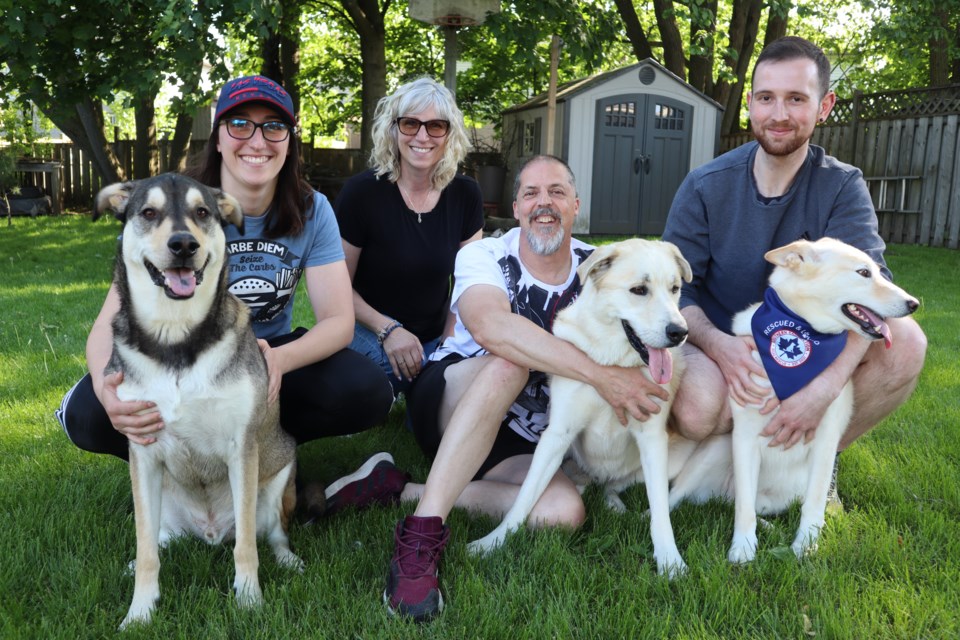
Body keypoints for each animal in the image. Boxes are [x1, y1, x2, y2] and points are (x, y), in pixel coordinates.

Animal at [468, 239, 692, 580]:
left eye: (675, 288)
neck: (614, 362)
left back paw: (614, 503)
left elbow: (660, 510)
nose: (679, 332)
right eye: (639, 290)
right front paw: (492, 542)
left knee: (618, 486)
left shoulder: (653, 441)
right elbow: (524, 498)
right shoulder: (557, 435)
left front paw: (670, 560)